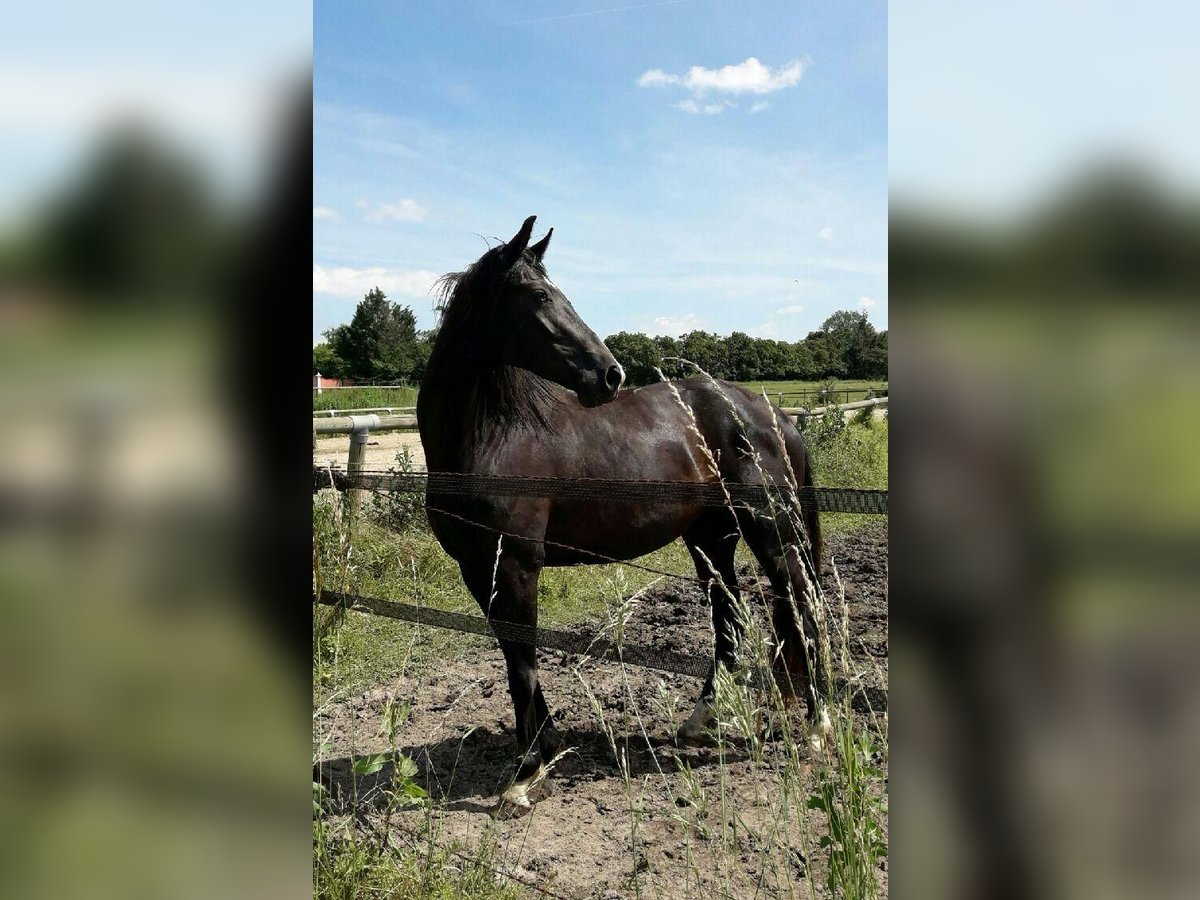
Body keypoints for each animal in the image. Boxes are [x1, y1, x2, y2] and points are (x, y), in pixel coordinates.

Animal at [420, 220, 825, 816]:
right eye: (538, 296)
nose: (610, 375)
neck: (490, 438)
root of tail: (769, 413)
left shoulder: (516, 564)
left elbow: (522, 662)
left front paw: (526, 774)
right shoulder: (477, 570)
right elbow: (514, 653)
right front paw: (546, 751)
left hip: (770, 530)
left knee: (800, 605)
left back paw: (817, 727)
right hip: (711, 538)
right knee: (728, 615)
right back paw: (701, 721)